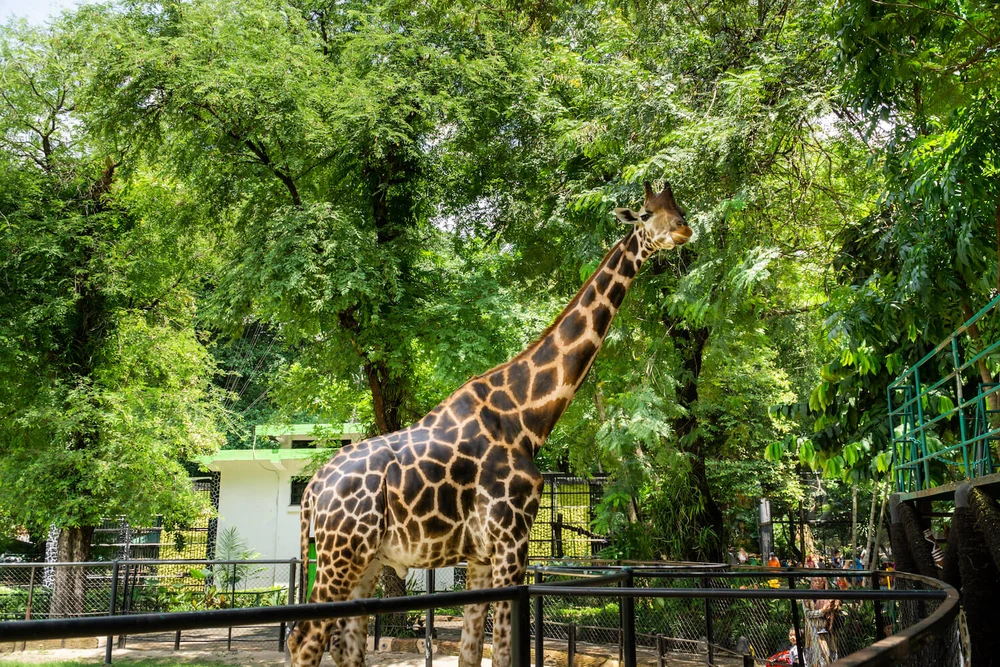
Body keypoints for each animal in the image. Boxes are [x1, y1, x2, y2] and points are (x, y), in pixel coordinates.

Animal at [290, 181, 692, 667]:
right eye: (647, 214)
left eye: (679, 206)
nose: (684, 229)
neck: (525, 416)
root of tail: (313, 489)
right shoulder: (510, 538)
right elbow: (503, 650)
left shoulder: (481, 555)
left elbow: (472, 651)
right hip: (341, 553)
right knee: (305, 639)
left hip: (366, 560)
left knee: (345, 643)